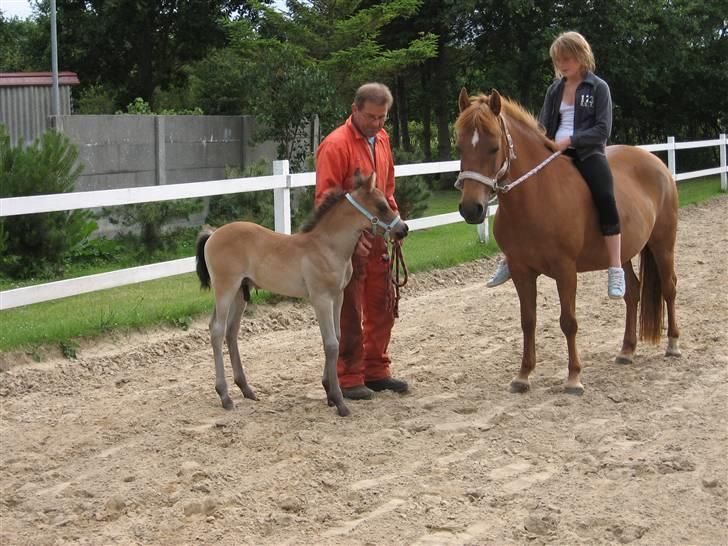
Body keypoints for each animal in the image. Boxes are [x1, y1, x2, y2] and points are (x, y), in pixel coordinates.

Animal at [196, 172, 406, 414]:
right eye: (381, 206)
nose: (404, 229)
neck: (327, 247)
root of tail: (213, 234)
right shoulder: (321, 298)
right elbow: (331, 344)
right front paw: (339, 401)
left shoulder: (338, 296)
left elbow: (337, 337)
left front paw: (329, 391)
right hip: (225, 288)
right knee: (217, 330)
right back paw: (225, 396)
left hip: (240, 293)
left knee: (231, 332)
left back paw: (246, 389)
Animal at [458, 88, 680, 392]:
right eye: (460, 147)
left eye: (493, 147)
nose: (471, 209)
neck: (536, 196)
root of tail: (657, 163)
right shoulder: (521, 271)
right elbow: (528, 320)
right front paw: (523, 375)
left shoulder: (565, 270)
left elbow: (568, 322)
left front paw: (574, 377)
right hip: (624, 252)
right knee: (632, 292)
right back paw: (626, 350)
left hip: (663, 244)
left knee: (669, 288)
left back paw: (673, 345)